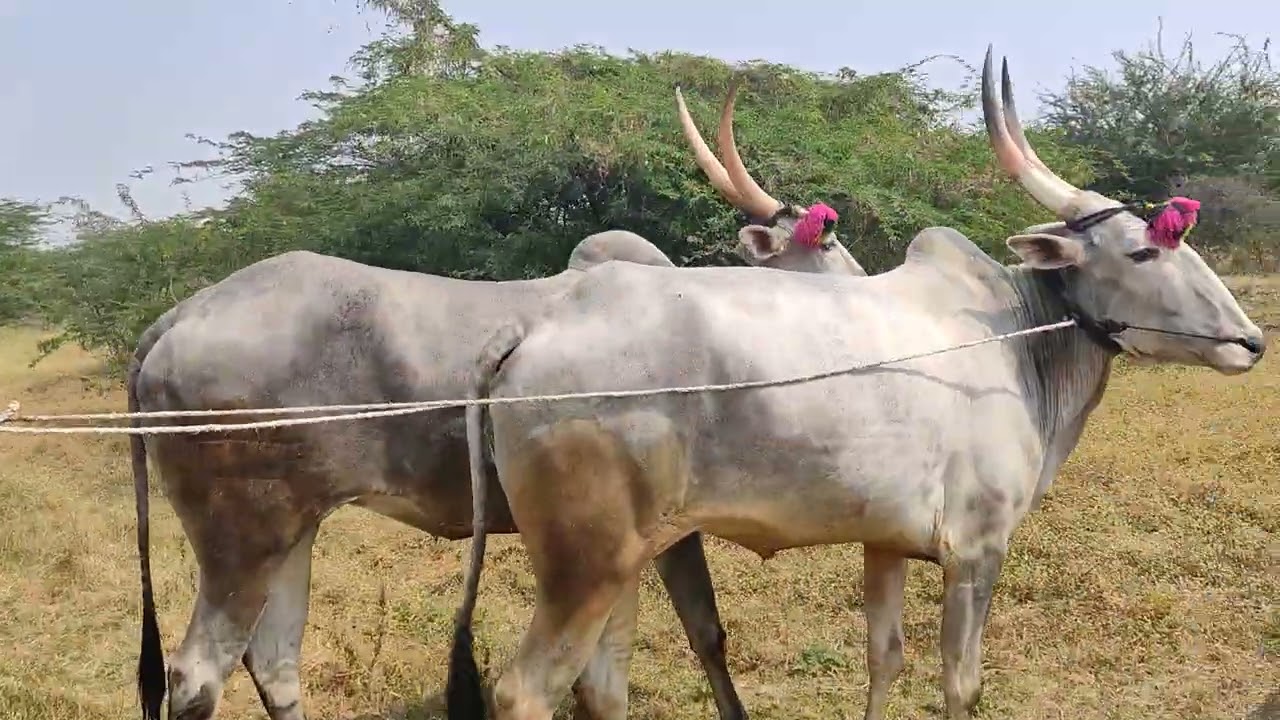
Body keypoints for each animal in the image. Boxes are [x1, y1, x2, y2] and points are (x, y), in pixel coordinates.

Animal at [127, 80, 866, 720]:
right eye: (826, 238)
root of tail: (183, 316)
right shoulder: (670, 529)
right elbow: (707, 632)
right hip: (243, 536)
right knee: (197, 675)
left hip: (295, 529)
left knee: (274, 663)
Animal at [445, 46, 1268, 720]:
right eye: (1144, 251)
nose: (1251, 341)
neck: (1014, 336)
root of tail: (536, 325)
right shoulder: (976, 551)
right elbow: (960, 685)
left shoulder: (886, 543)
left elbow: (885, 660)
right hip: (587, 565)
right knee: (525, 691)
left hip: (634, 560)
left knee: (602, 684)